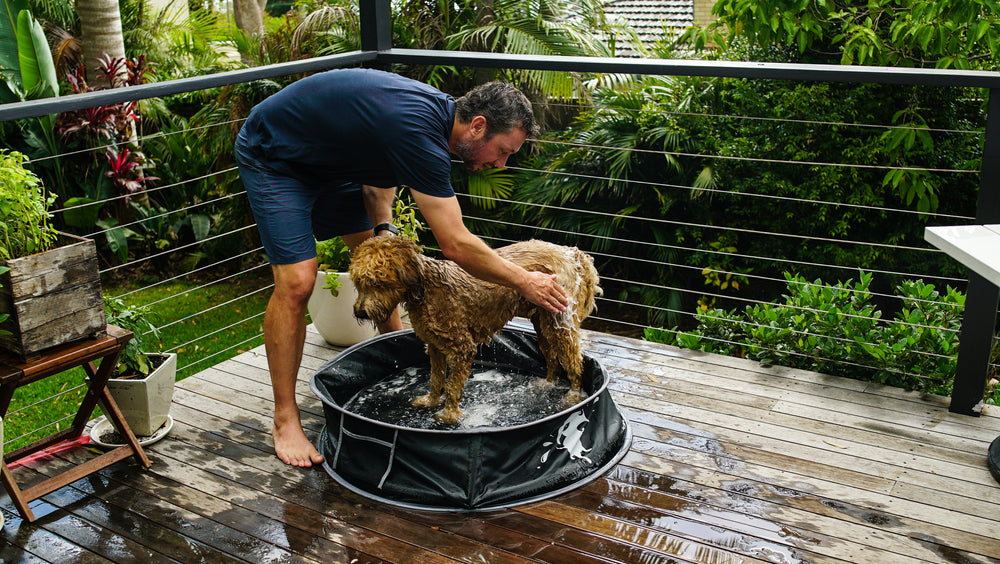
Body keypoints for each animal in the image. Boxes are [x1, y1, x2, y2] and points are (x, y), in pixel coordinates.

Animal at [352, 237, 600, 424]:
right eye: (357, 282)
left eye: (376, 282)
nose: (360, 312)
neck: (424, 288)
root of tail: (572, 253)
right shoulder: (434, 346)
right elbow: (436, 379)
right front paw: (431, 401)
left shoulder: (461, 347)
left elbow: (452, 387)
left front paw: (448, 415)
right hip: (543, 323)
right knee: (552, 358)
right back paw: (546, 384)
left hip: (560, 322)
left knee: (574, 361)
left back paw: (573, 397)